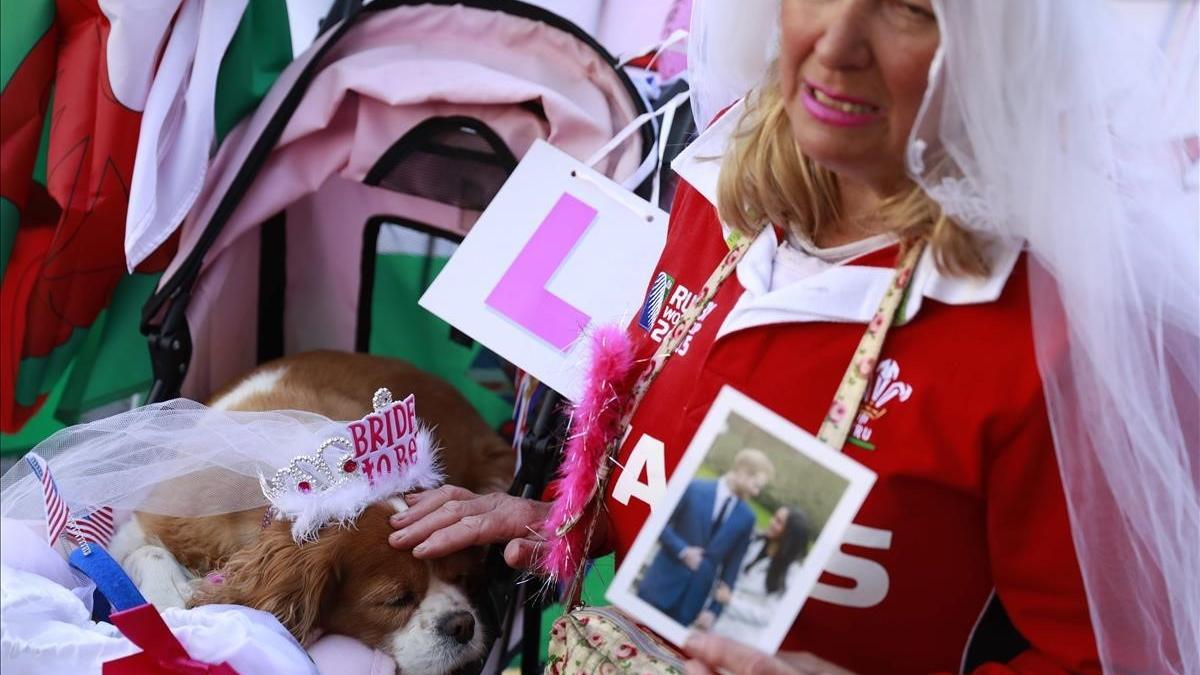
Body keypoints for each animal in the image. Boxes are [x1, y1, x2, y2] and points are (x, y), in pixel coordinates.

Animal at [106, 348, 511, 667]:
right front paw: (168, 597)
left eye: (462, 577)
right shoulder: (150, 522)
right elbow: (143, 553)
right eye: (395, 601)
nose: (463, 624)